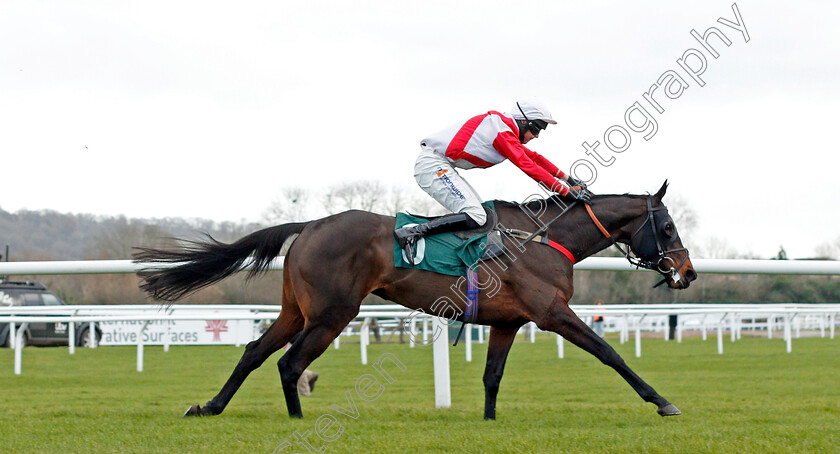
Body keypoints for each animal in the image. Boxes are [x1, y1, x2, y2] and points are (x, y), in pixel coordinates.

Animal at [133, 180, 696, 418]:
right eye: (668, 227)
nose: (688, 272)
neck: (542, 238)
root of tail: (311, 224)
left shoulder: (507, 323)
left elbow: (492, 376)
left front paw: (489, 422)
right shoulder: (551, 313)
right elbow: (610, 353)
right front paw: (663, 401)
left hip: (297, 309)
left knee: (253, 353)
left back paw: (209, 407)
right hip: (335, 312)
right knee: (291, 364)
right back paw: (295, 419)